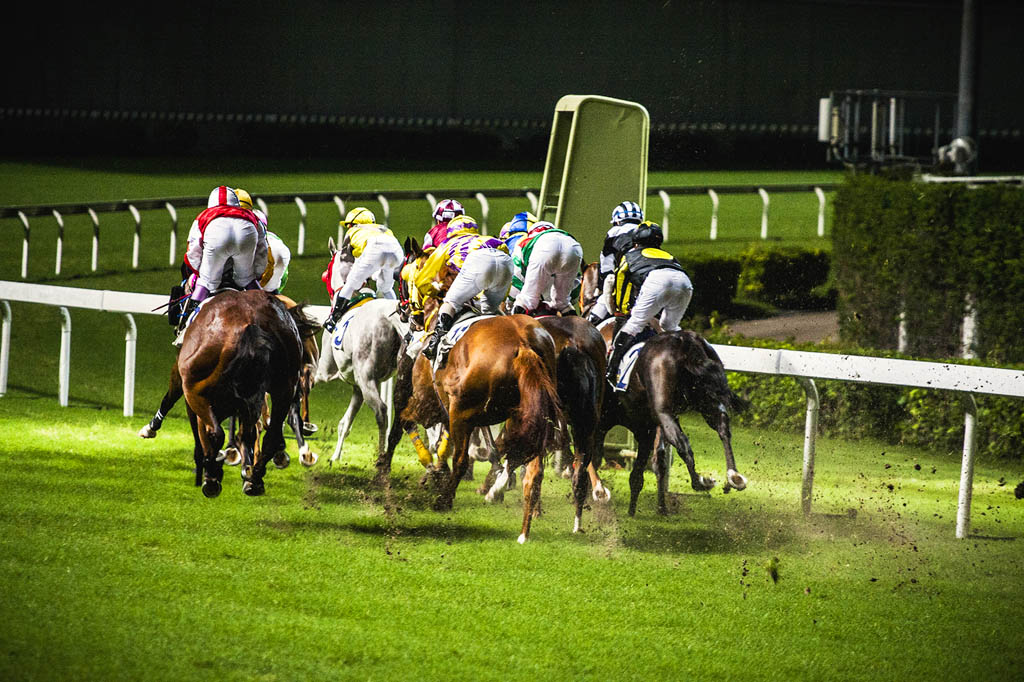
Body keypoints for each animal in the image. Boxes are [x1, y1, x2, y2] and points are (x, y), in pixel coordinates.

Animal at [178, 286, 317, 493]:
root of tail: (252, 325)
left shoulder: (197, 394)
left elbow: (205, 431)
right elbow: (249, 431)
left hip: (195, 387)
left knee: (216, 432)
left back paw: (213, 477)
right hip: (285, 386)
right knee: (272, 433)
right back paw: (256, 477)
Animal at [598, 323, 749, 516]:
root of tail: (686, 343)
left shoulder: (609, 422)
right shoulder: (644, 428)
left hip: (665, 411)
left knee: (682, 443)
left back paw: (700, 482)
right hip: (705, 401)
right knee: (722, 428)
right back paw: (733, 477)